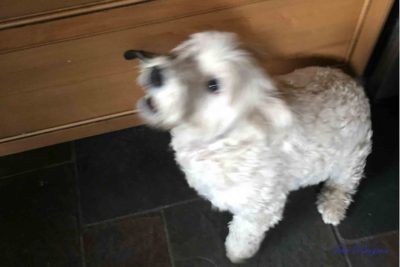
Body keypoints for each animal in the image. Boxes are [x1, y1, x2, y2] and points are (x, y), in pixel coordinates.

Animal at [134, 31, 372, 264]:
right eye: (185, 55)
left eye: (213, 85)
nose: (156, 74)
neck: (220, 142)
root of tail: (354, 85)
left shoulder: (261, 208)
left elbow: (244, 233)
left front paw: (236, 253)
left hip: (352, 156)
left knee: (346, 183)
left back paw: (333, 205)